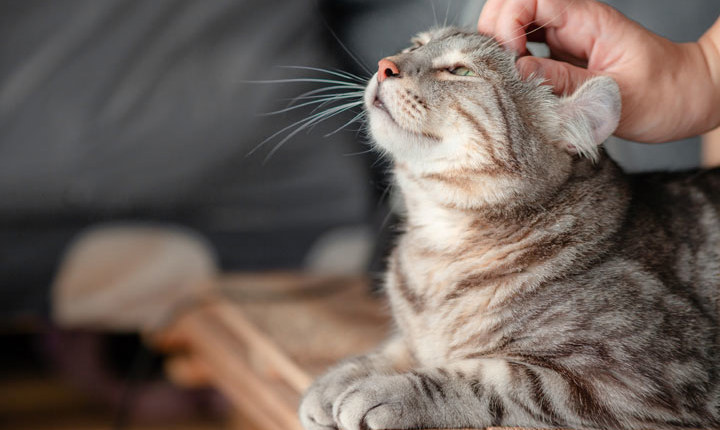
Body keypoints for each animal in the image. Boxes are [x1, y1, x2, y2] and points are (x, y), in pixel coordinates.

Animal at [298, 26, 720, 430]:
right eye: (415, 44)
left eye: (460, 71)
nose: (386, 64)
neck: (440, 242)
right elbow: (401, 346)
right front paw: (338, 380)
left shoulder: (622, 377)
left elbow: (481, 380)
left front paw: (385, 392)